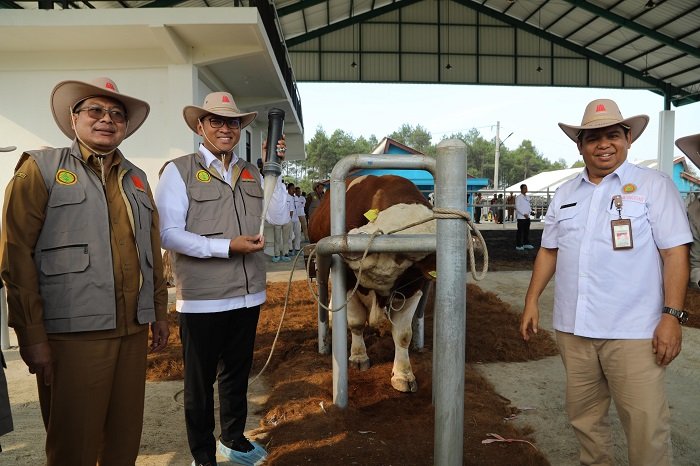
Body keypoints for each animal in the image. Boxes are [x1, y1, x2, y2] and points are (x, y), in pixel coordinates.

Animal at [308, 175, 434, 394]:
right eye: (376, 219)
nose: (352, 238)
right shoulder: (349, 281)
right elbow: (356, 322)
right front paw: (358, 356)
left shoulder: (413, 288)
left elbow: (403, 335)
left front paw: (403, 374)